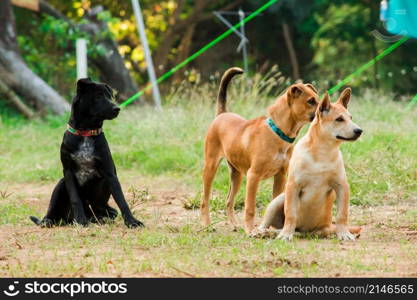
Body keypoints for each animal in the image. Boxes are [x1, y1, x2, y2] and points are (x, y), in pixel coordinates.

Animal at [30, 77, 144, 227]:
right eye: (98, 96)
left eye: (110, 96)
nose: (117, 108)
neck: (86, 132)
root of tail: (66, 219)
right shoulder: (68, 172)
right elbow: (75, 199)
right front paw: (81, 221)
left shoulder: (110, 173)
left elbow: (121, 200)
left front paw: (132, 221)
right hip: (61, 184)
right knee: (52, 210)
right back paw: (49, 220)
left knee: (109, 212)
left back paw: (99, 219)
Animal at [200, 68, 316, 234]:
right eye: (311, 101)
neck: (277, 132)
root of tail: (222, 114)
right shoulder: (253, 176)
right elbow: (250, 208)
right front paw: (250, 230)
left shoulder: (280, 176)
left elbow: (274, 203)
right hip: (211, 168)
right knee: (205, 200)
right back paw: (207, 225)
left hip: (237, 175)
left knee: (229, 201)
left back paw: (234, 224)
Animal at [256, 88, 360, 240]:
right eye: (339, 119)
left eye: (350, 118)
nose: (359, 131)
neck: (322, 152)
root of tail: (305, 232)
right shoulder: (293, 186)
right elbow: (290, 214)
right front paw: (285, 235)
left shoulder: (342, 186)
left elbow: (342, 214)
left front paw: (344, 233)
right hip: (279, 200)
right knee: (271, 223)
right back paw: (262, 231)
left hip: (319, 229)